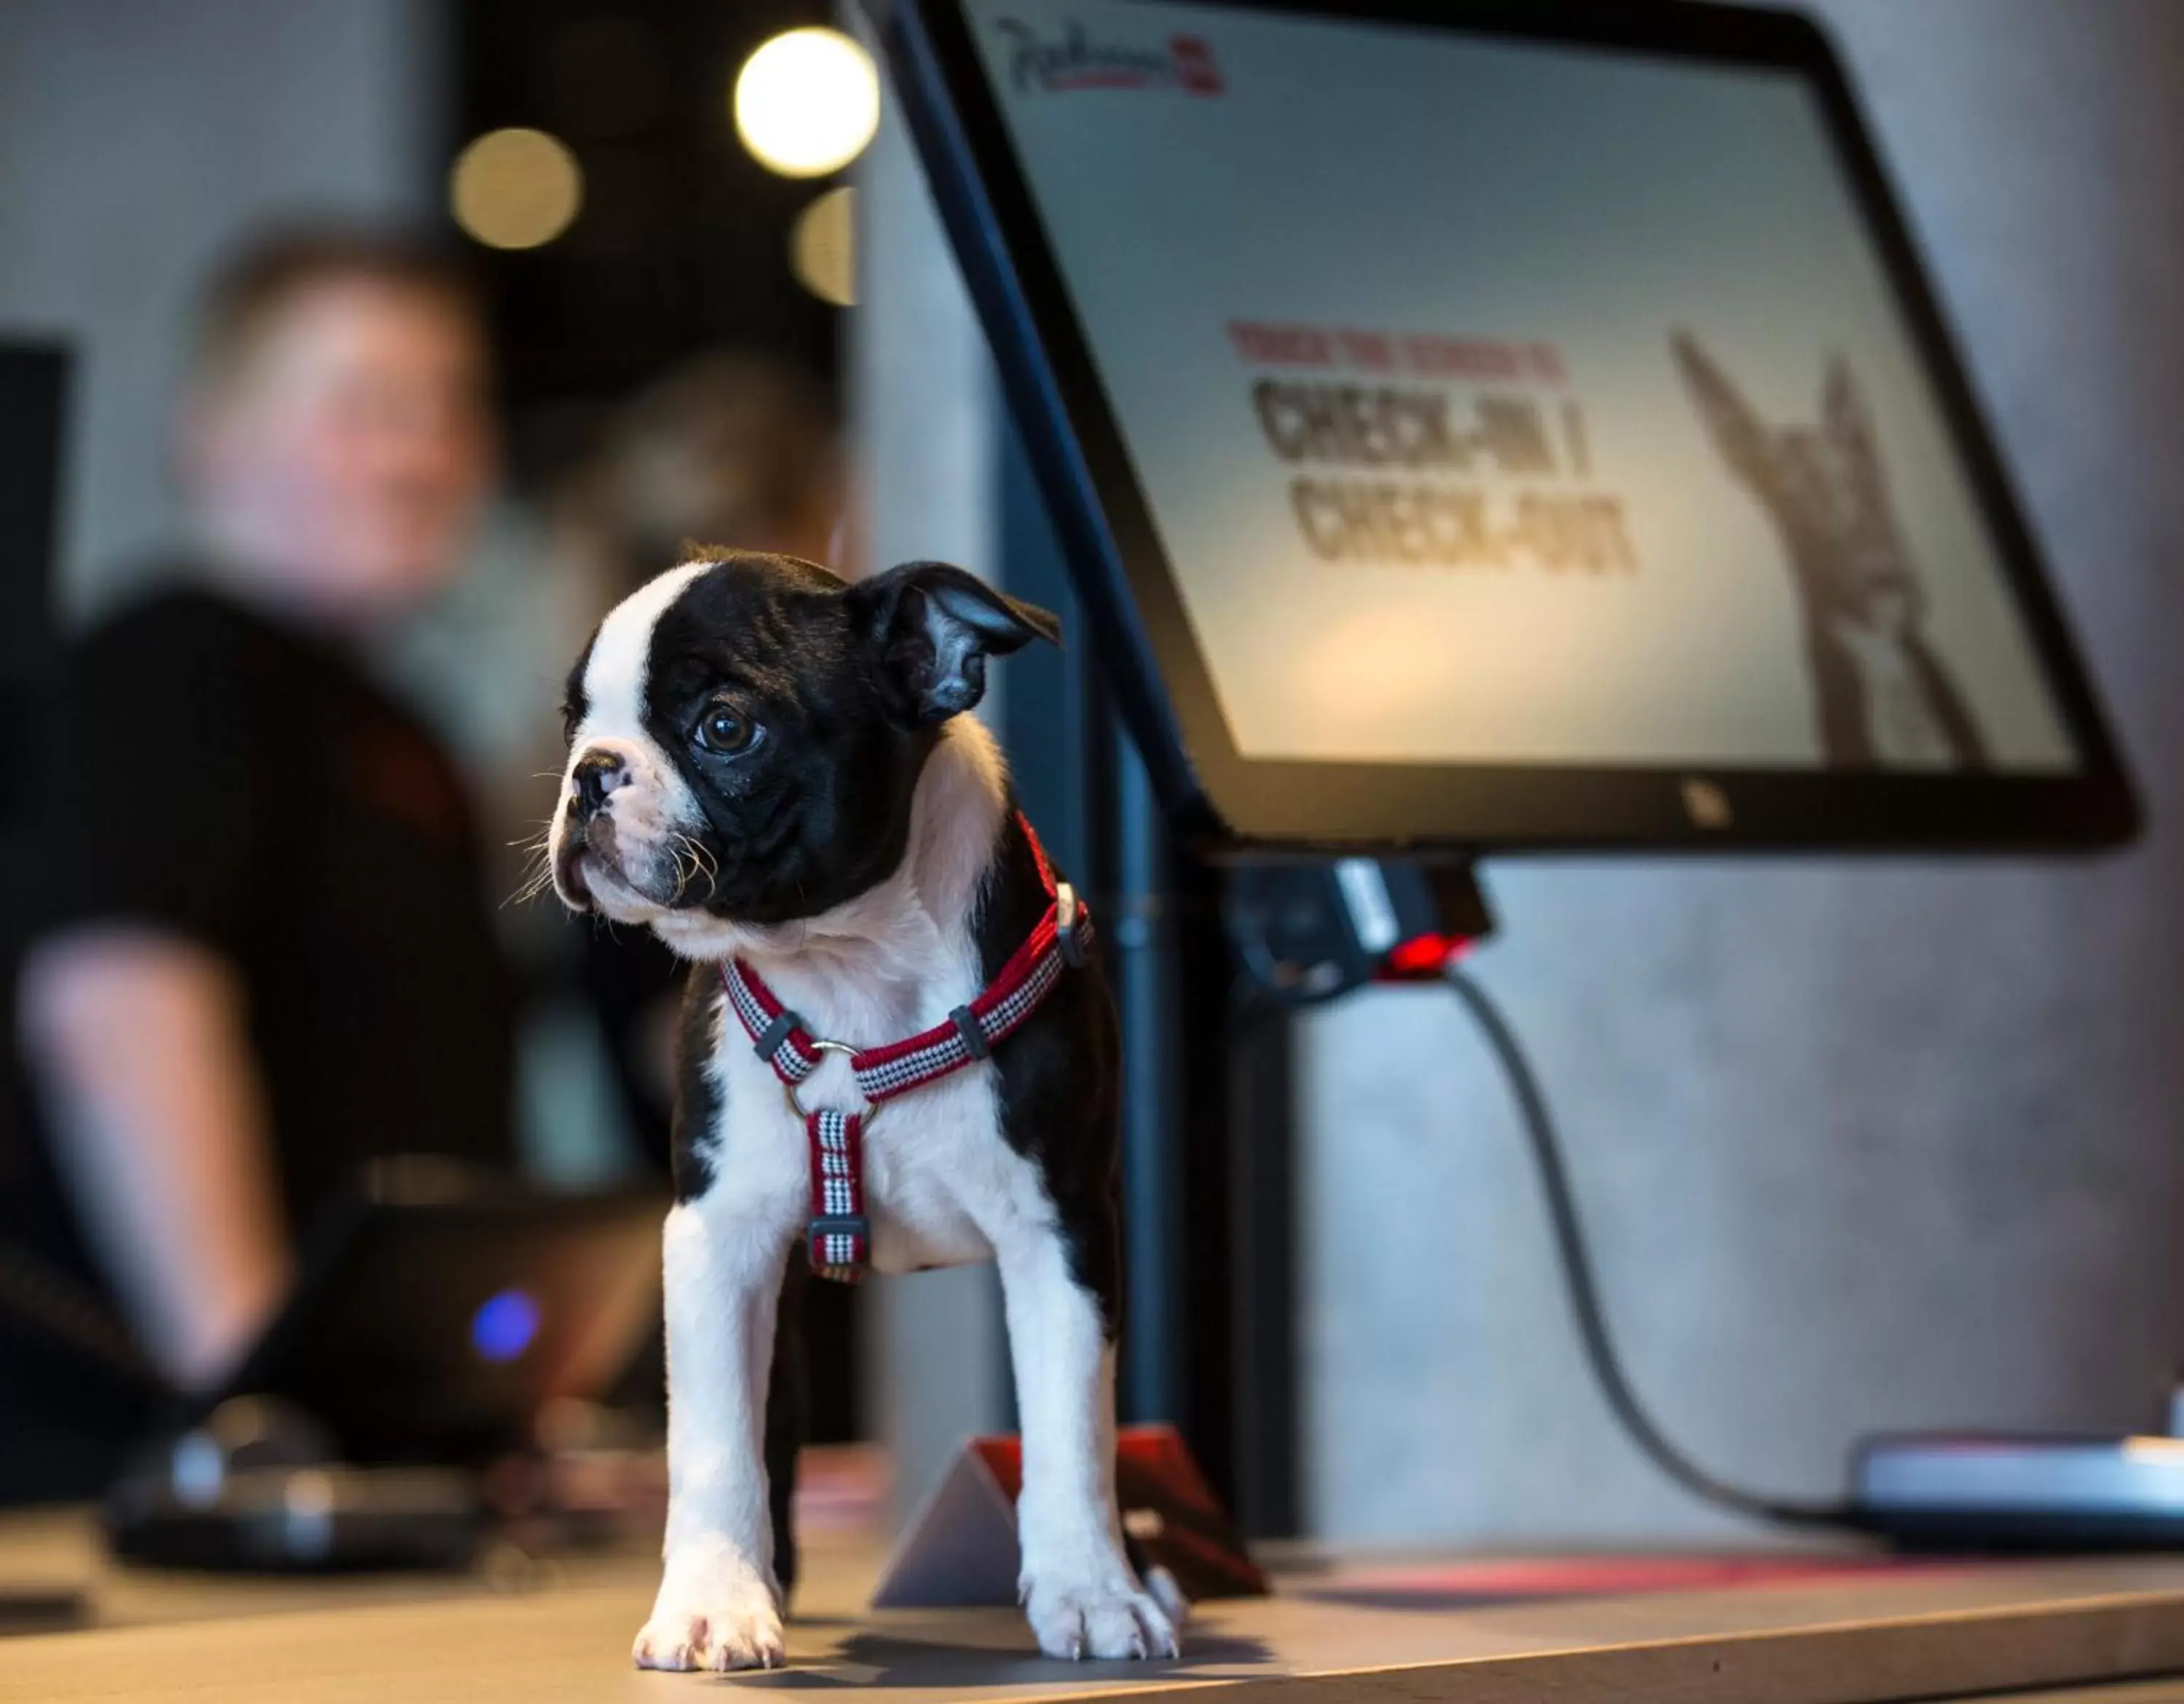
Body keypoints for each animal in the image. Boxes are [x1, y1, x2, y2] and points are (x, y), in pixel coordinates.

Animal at [546, 553, 1179, 1669]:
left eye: (724, 727)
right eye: (572, 722)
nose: (591, 774)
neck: (850, 975)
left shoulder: (1063, 1230)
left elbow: (1072, 1426)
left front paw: (1095, 1591)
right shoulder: (718, 1239)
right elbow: (715, 1441)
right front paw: (713, 1603)